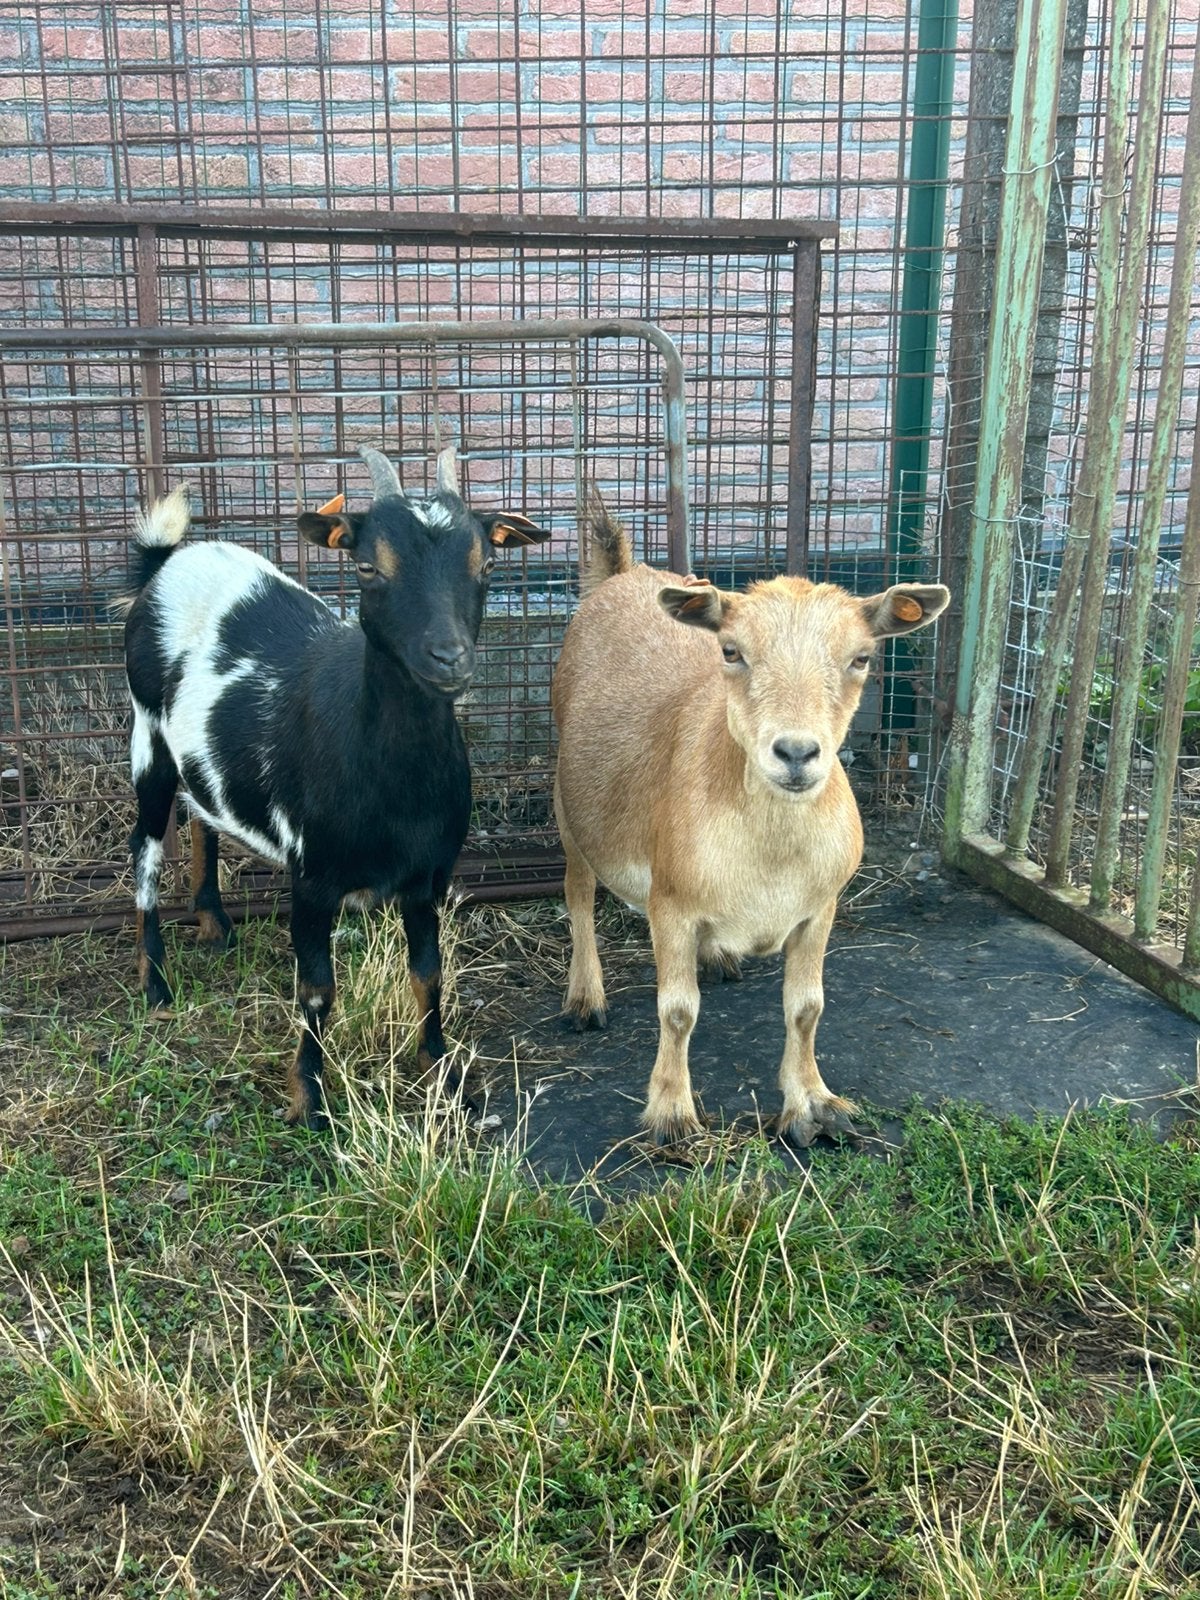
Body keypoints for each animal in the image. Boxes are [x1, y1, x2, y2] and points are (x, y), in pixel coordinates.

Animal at [123, 446, 549, 1126]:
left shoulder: (428, 876)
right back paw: (156, 982)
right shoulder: (312, 877)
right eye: (368, 566)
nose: (449, 658)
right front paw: (308, 1098)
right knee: (145, 847)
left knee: (203, 814)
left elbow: (428, 972)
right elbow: (318, 989)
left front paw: (442, 1069)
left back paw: (215, 923)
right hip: (148, 736)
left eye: (486, 563)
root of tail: (168, 562)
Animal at [551, 503, 949, 1147]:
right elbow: (677, 1010)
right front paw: (672, 1114)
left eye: (862, 657)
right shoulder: (671, 903)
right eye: (732, 652)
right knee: (579, 892)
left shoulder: (819, 907)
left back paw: (719, 957)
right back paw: (585, 999)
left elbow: (807, 1006)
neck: (769, 857)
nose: (795, 753)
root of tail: (625, 572)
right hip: (569, 800)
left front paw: (813, 1105)